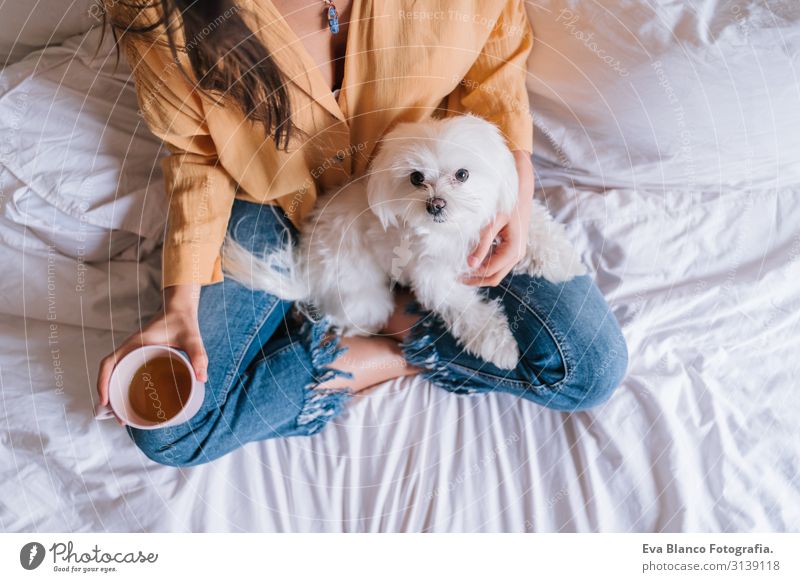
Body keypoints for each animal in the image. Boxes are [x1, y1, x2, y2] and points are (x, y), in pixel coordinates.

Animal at [222, 114, 584, 370]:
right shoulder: (432, 277)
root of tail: (305, 268)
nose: (435, 204)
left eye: (463, 174)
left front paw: (564, 260)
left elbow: (534, 228)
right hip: (363, 298)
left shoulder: (493, 222)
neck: (454, 231)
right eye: (416, 178)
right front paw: (499, 346)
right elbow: (468, 311)